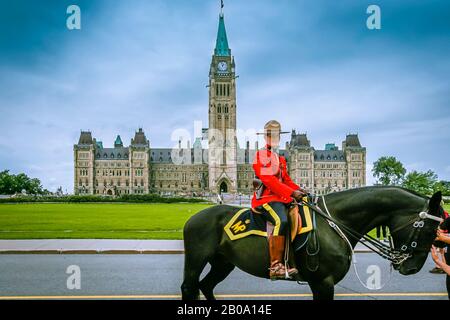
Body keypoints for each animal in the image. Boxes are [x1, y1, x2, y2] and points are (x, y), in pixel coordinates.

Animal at [180, 186, 442, 302]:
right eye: (430, 229)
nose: (412, 268)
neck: (335, 220)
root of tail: (194, 217)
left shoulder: (320, 283)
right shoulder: (323, 282)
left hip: (223, 262)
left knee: (205, 286)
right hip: (195, 259)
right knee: (189, 287)